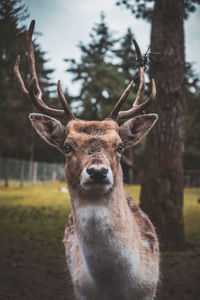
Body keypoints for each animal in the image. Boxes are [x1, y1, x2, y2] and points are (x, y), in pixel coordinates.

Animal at [14, 19, 159, 298]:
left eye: (120, 146)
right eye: (67, 146)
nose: (98, 172)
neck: (113, 287)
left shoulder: (149, 289)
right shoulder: (80, 289)